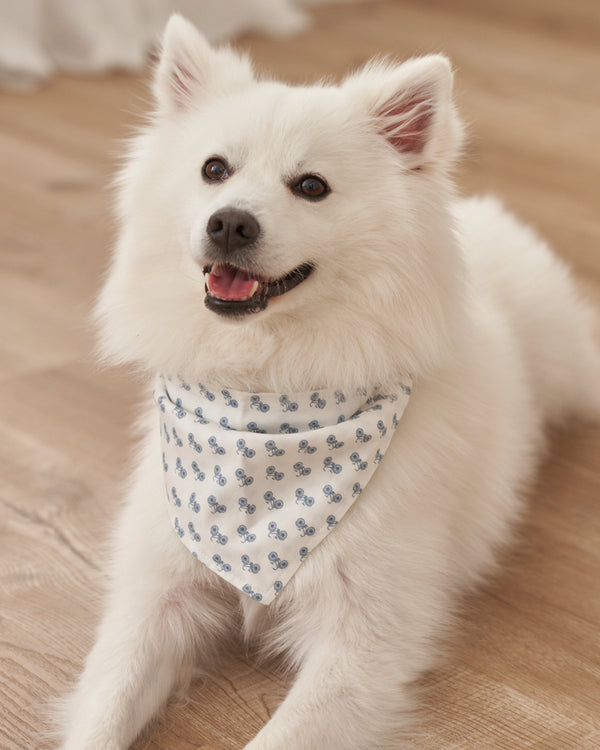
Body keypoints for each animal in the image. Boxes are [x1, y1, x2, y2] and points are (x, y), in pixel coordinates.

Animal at [59, 13, 600, 750]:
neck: (267, 389)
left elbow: (279, 736)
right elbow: (103, 710)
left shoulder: (363, 643)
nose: (229, 221)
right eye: (214, 170)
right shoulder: (155, 598)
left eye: (311, 186)